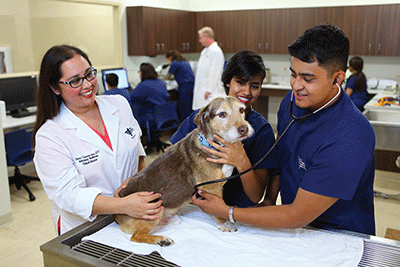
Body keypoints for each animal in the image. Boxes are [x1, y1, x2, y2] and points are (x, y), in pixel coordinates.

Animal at [115, 96, 253, 247]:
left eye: (241, 110)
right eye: (222, 114)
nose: (244, 129)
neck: (212, 144)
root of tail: (117, 214)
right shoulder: (212, 189)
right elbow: (219, 212)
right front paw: (223, 224)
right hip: (153, 209)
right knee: (136, 236)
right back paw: (161, 239)